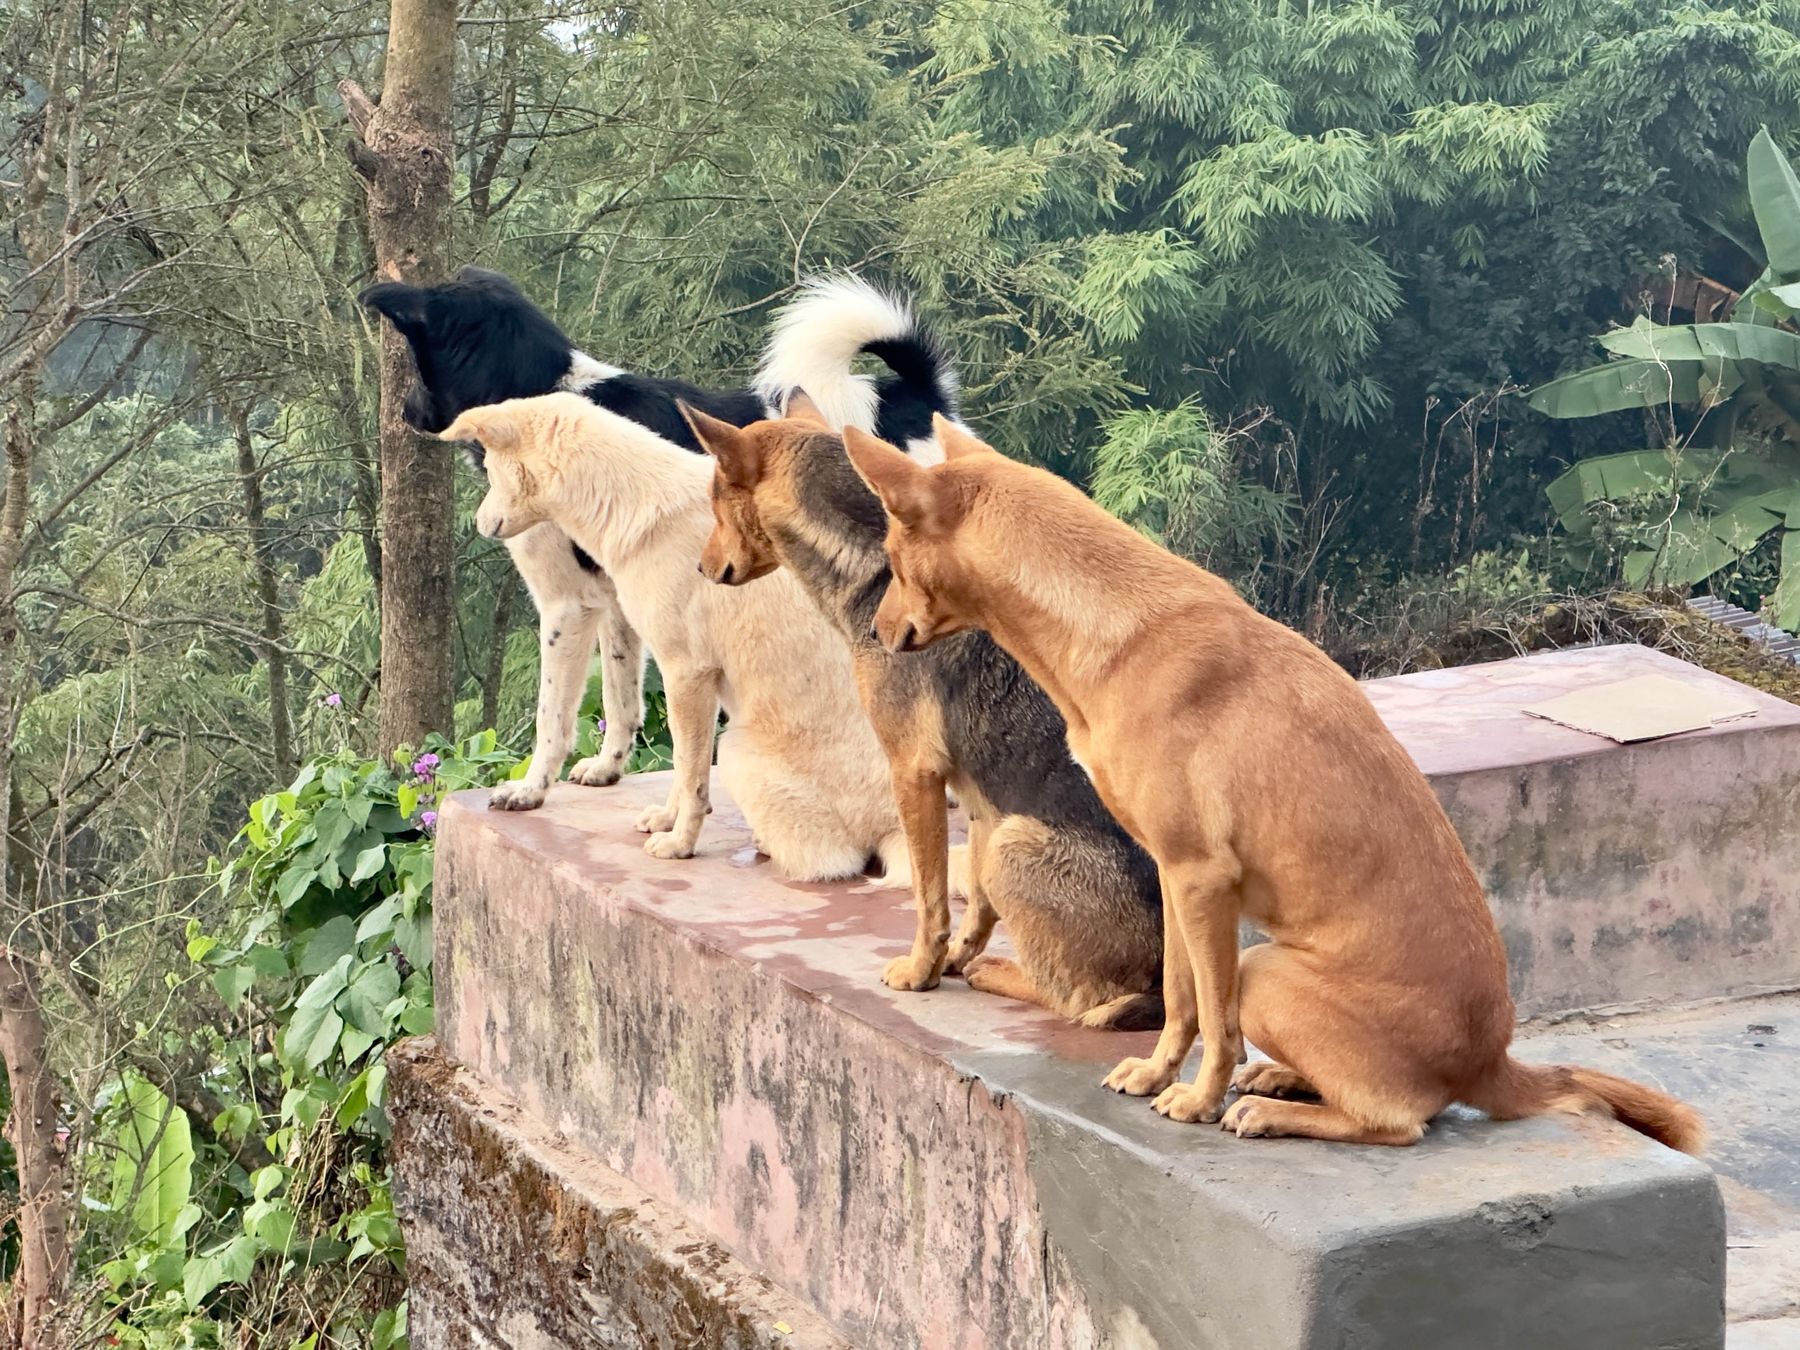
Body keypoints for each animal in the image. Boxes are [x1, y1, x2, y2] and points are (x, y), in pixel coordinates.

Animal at [359, 268, 957, 809]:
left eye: (413, 361)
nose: (404, 412)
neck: (542, 394)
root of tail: (909, 399)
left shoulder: (565, 604)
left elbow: (552, 715)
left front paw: (530, 789)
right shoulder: (616, 598)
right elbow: (621, 698)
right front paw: (607, 768)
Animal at [439, 392, 910, 883]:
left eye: (488, 468)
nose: (478, 524)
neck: (629, 505)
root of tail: (894, 833)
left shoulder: (656, 658)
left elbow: (566, 724)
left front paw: (678, 843)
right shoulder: (680, 671)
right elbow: (680, 761)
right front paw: (666, 820)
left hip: (734, 747)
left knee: (833, 862)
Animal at [687, 394, 1162, 1028]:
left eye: (715, 507)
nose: (701, 568)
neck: (872, 568)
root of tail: (1167, 985)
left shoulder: (914, 774)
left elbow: (929, 898)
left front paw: (921, 972)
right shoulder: (978, 800)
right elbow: (975, 909)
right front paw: (954, 959)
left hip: (1012, 846)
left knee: (1083, 1001)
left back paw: (1005, 974)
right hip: (1002, 836)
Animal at [843, 416, 1704, 1152]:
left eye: (894, 562)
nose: (876, 633)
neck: (1117, 628)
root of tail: (1492, 1062)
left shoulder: (1201, 879)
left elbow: (1216, 1019)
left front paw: (1196, 1099)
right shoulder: (1176, 877)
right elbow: (1181, 999)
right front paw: (1156, 1072)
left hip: (1269, 972)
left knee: (1400, 1120)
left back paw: (1269, 1108)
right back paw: (1284, 1079)